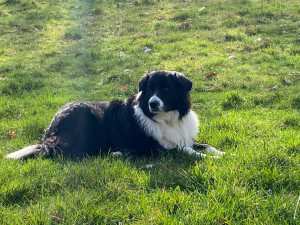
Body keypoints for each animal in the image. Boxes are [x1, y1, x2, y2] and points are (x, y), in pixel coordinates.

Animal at [5, 70, 224, 160]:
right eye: (150, 90)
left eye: (166, 89)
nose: (152, 103)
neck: (169, 119)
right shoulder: (160, 148)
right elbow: (189, 151)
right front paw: (210, 159)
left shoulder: (183, 138)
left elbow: (206, 145)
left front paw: (224, 154)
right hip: (89, 122)